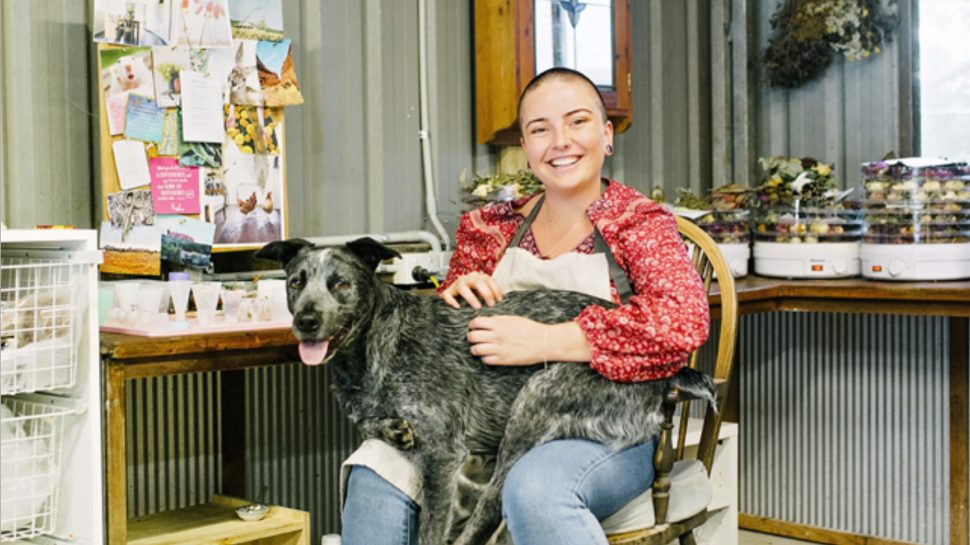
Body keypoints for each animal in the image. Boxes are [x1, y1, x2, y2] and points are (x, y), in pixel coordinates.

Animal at [253, 238, 716, 544]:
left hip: (535, 398)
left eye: (340, 284)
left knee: (491, 506)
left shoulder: (442, 453)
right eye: (296, 282)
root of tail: (672, 374)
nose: (306, 322)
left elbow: (432, 531)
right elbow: (371, 422)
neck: (372, 349)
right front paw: (392, 428)